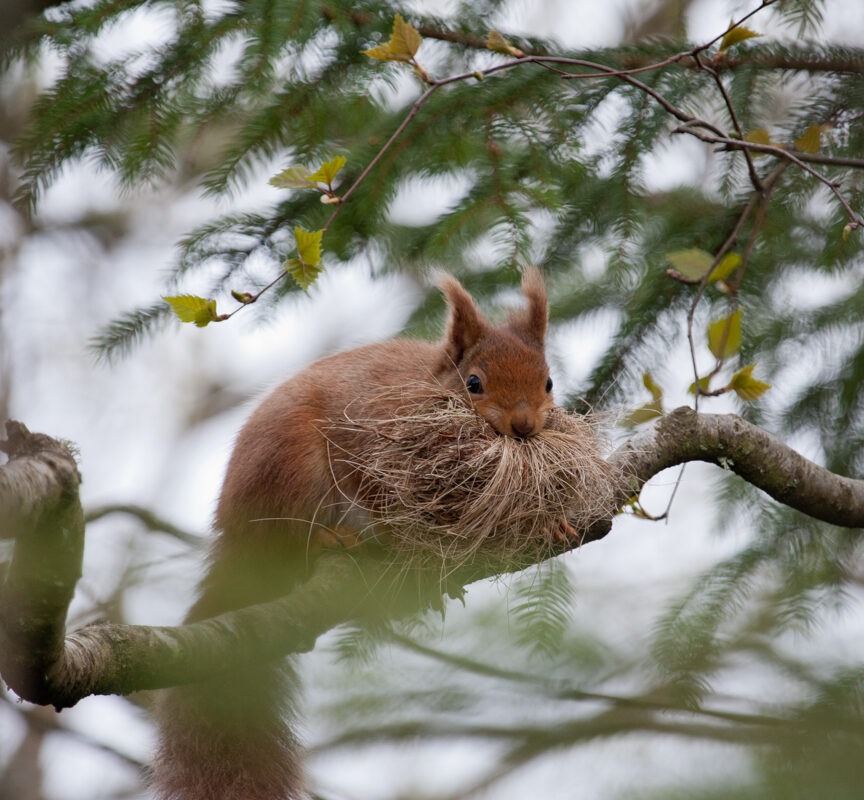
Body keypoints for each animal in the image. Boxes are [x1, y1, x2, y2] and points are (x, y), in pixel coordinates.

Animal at [154, 270, 552, 800]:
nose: (523, 425)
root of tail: (233, 542)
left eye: (548, 381)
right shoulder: (368, 439)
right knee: (290, 537)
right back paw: (333, 540)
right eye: (474, 383)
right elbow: (377, 497)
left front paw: (551, 522)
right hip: (292, 471)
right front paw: (411, 550)